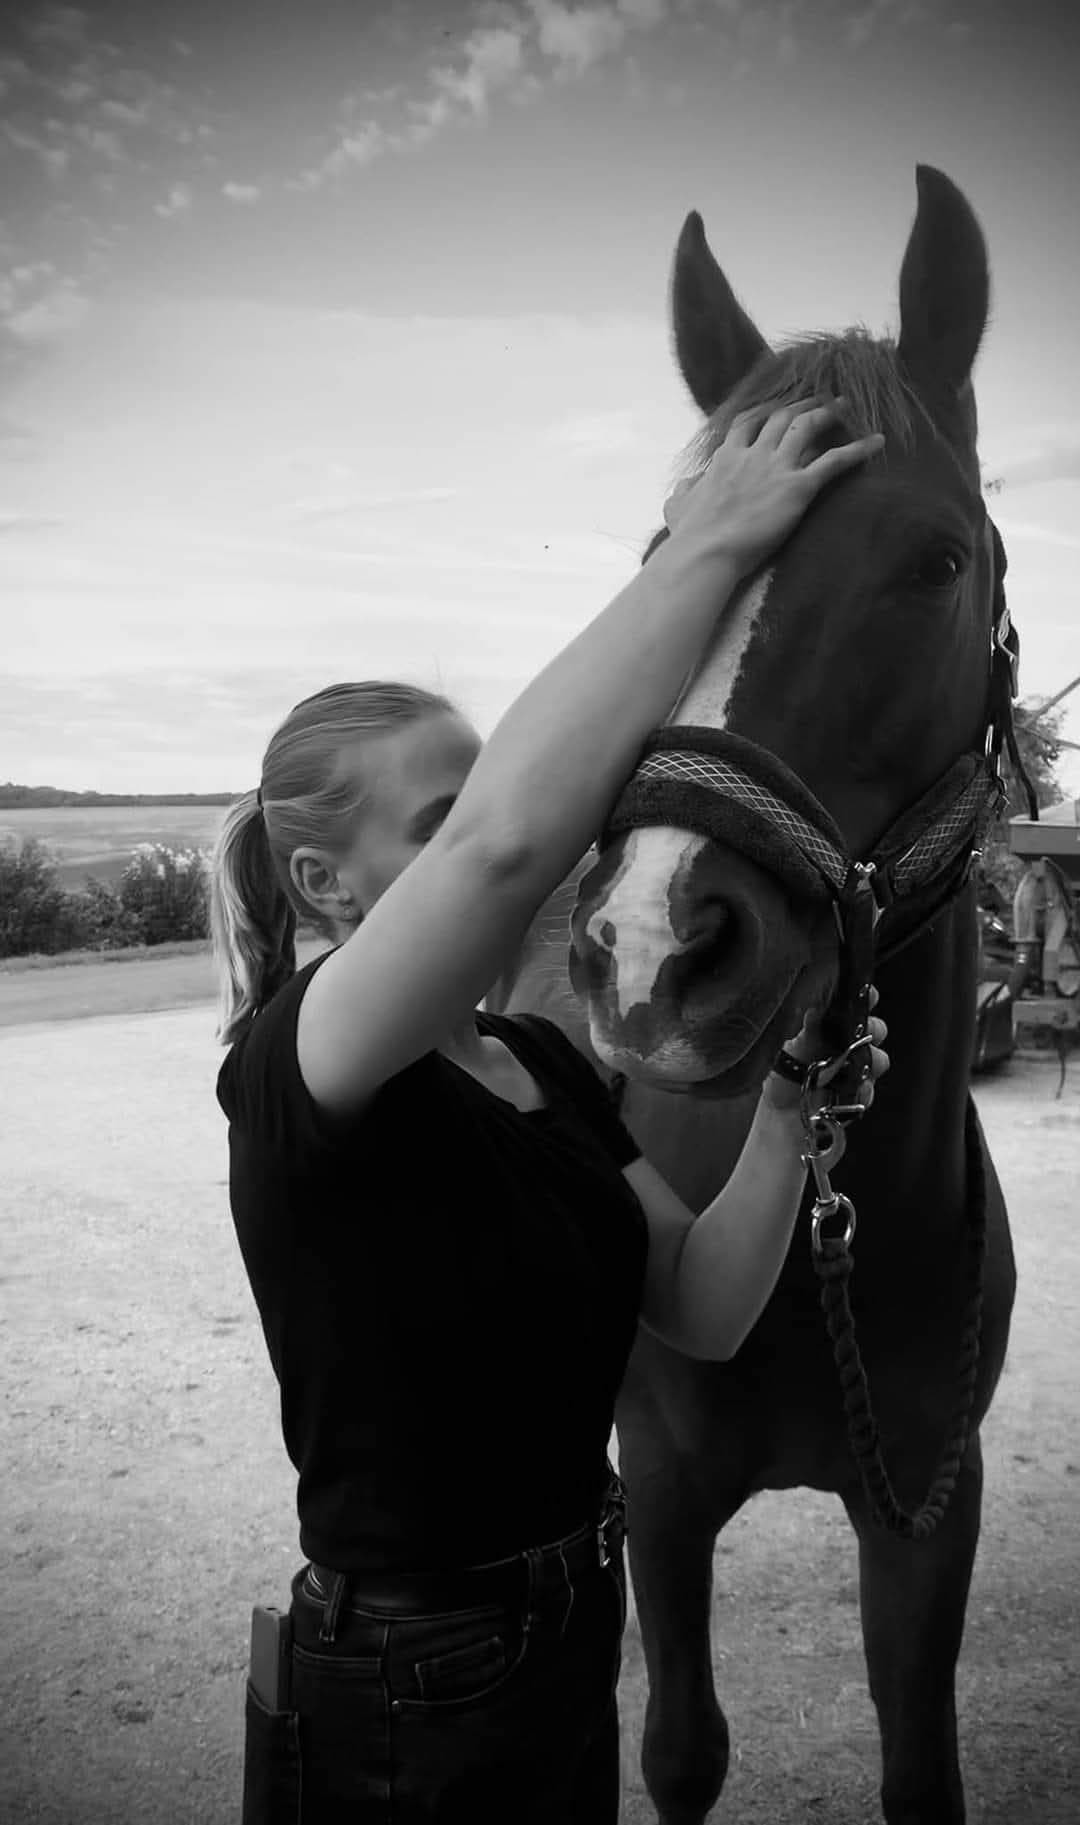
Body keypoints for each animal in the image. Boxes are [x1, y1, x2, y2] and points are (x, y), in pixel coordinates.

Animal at [489, 166, 1019, 1823]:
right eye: (667, 555)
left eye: (936, 558)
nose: (658, 946)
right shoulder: (666, 1492)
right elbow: (681, 1747)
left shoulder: (928, 1513)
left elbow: (922, 1764)